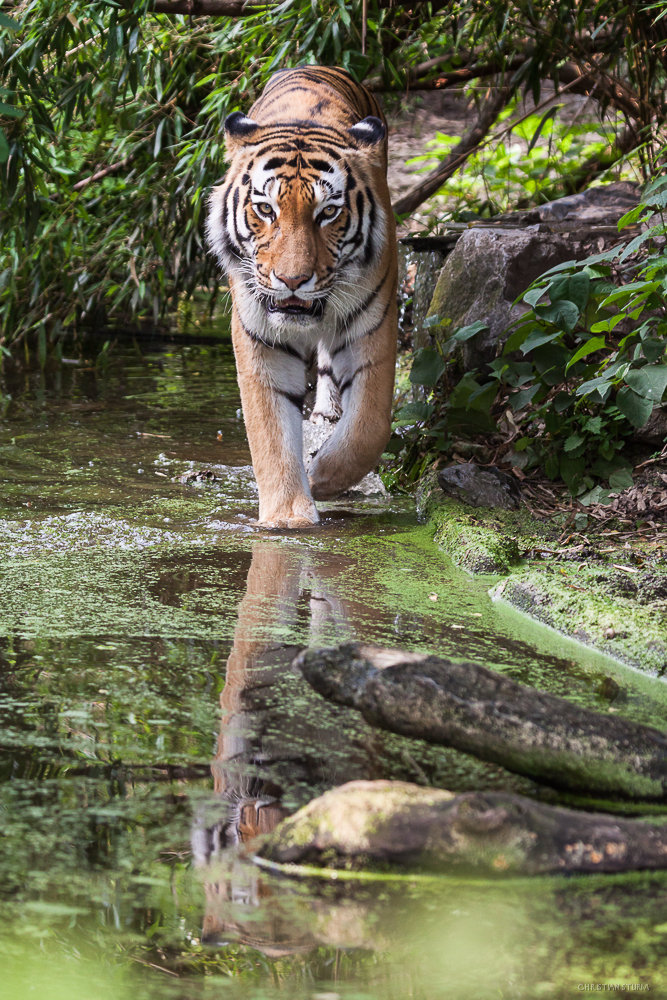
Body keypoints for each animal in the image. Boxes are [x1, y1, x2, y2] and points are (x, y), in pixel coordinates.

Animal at [207, 65, 396, 528]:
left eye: (327, 212)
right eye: (266, 209)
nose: (292, 280)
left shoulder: (373, 329)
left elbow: (369, 426)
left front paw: (323, 476)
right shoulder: (261, 340)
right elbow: (270, 433)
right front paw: (288, 517)